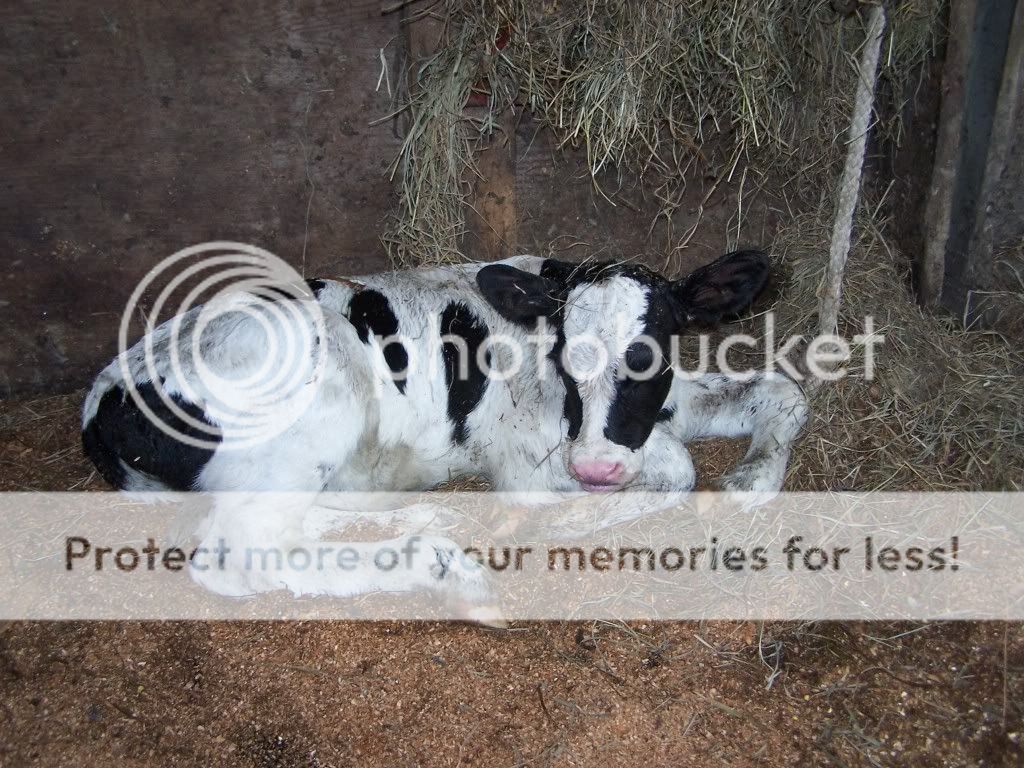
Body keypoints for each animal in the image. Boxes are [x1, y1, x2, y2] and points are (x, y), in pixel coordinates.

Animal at [81, 251, 807, 617]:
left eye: (649, 354)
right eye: (564, 354)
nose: (597, 470)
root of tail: (102, 399)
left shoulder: (658, 405)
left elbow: (784, 392)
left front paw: (748, 481)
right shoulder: (528, 455)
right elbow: (679, 469)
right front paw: (561, 521)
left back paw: (426, 519)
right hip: (315, 404)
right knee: (239, 555)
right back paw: (446, 570)